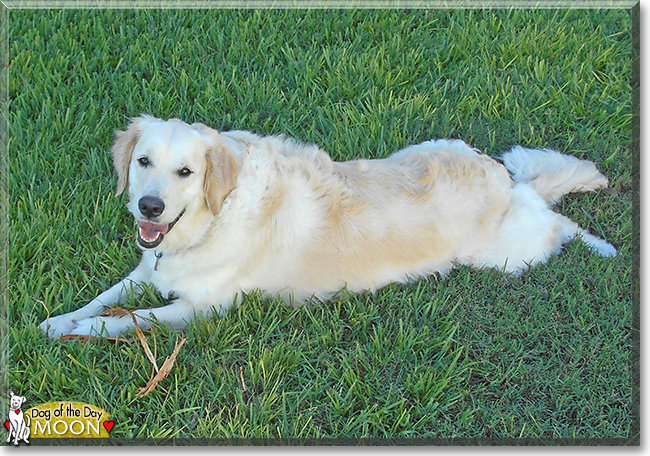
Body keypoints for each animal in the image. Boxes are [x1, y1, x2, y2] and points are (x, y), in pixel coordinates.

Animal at [38, 116, 616, 336]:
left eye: (186, 172)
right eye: (143, 162)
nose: (149, 207)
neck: (212, 219)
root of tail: (502, 178)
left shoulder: (202, 307)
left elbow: (130, 319)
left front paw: (82, 332)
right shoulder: (150, 265)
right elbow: (106, 296)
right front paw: (59, 320)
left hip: (508, 254)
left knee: (555, 219)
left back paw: (600, 245)